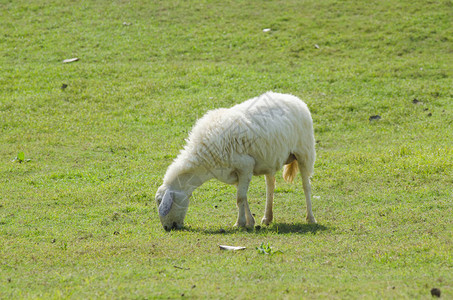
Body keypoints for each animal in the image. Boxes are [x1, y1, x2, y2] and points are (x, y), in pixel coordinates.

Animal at [154, 92, 316, 232]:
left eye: (161, 201)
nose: (167, 228)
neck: (204, 160)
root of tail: (293, 98)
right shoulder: (235, 173)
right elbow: (243, 198)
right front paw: (250, 222)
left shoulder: (246, 166)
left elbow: (240, 198)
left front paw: (240, 223)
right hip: (270, 158)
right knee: (270, 185)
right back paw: (267, 218)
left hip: (304, 152)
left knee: (306, 186)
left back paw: (310, 218)